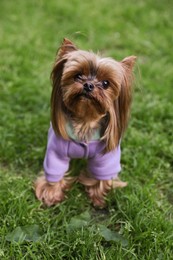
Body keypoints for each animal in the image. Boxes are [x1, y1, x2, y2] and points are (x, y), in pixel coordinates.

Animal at [34, 38, 137, 207]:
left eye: (106, 83)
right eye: (78, 76)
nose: (88, 85)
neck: (85, 120)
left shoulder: (106, 156)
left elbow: (103, 174)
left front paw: (98, 196)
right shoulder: (56, 151)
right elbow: (55, 170)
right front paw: (51, 193)